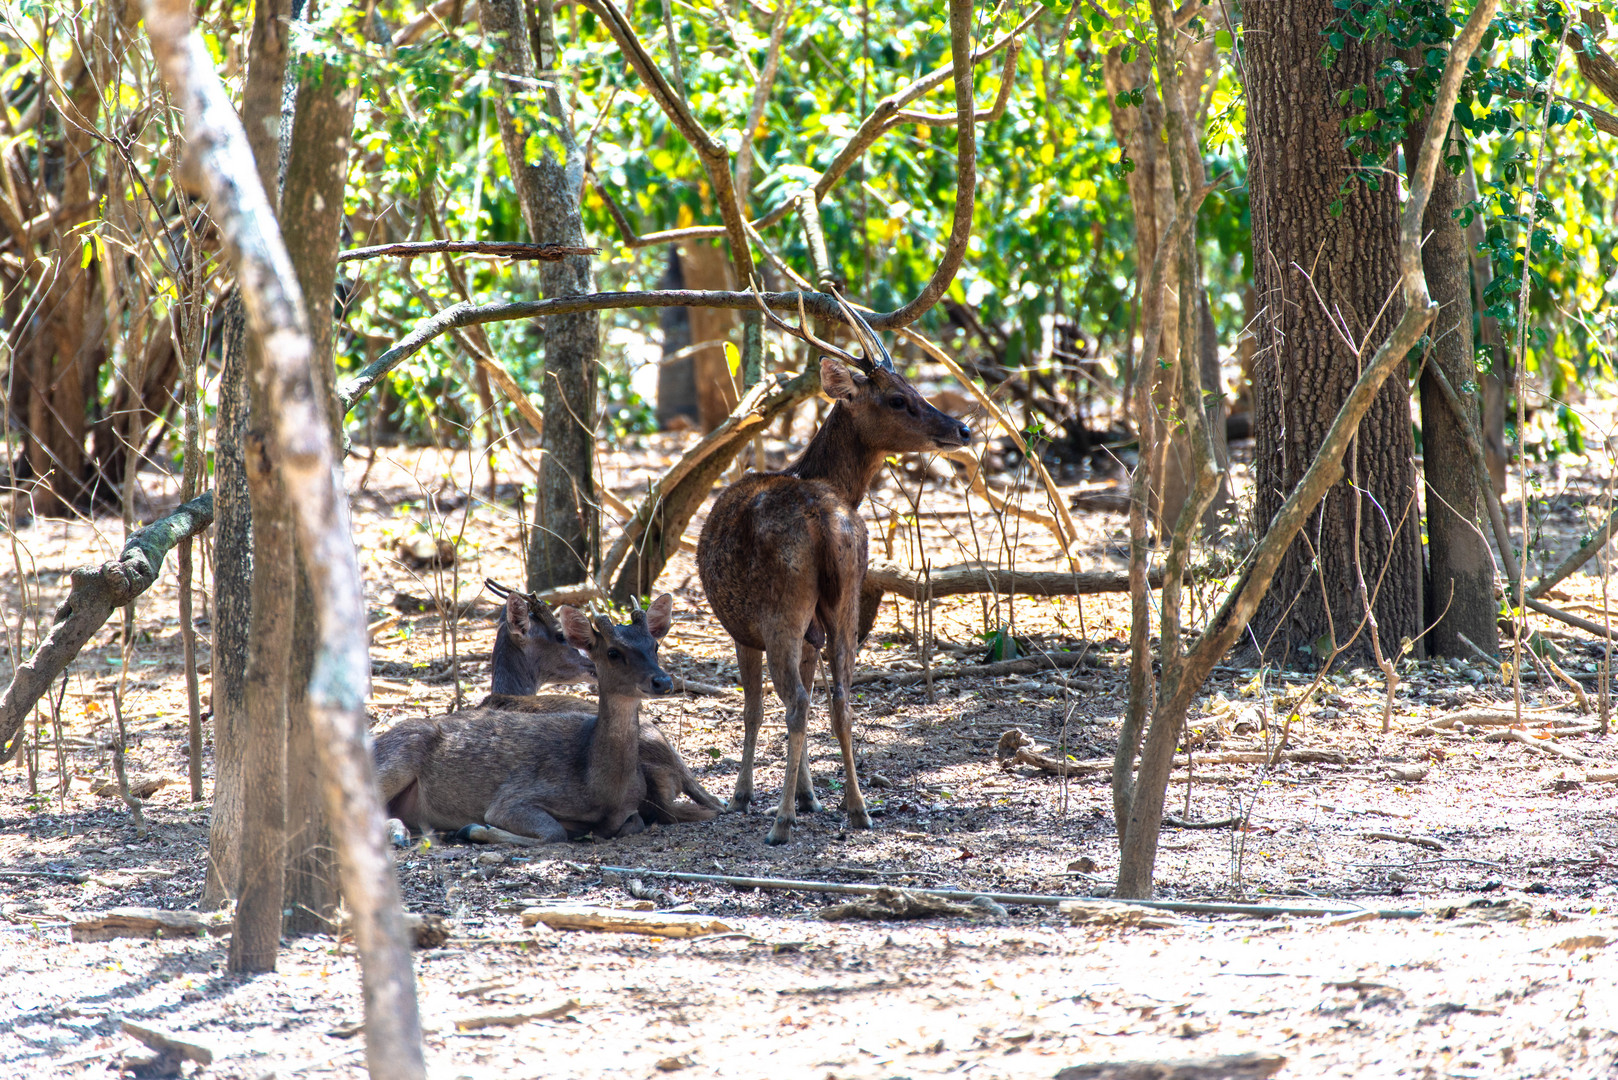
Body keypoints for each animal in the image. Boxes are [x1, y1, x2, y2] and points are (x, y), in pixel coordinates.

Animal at [375, 599, 698, 841]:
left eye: (655, 646)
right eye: (613, 652)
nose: (663, 681)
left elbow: (625, 823)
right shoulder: (512, 798)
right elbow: (553, 832)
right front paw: (474, 829)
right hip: (400, 753)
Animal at [698, 291, 970, 848]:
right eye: (899, 398)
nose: (963, 428)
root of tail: (825, 520)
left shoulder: (742, 629)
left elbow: (754, 707)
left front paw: (744, 796)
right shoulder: (812, 629)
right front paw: (810, 796)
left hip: (779, 610)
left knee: (798, 702)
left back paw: (780, 823)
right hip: (845, 598)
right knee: (841, 696)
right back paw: (858, 809)